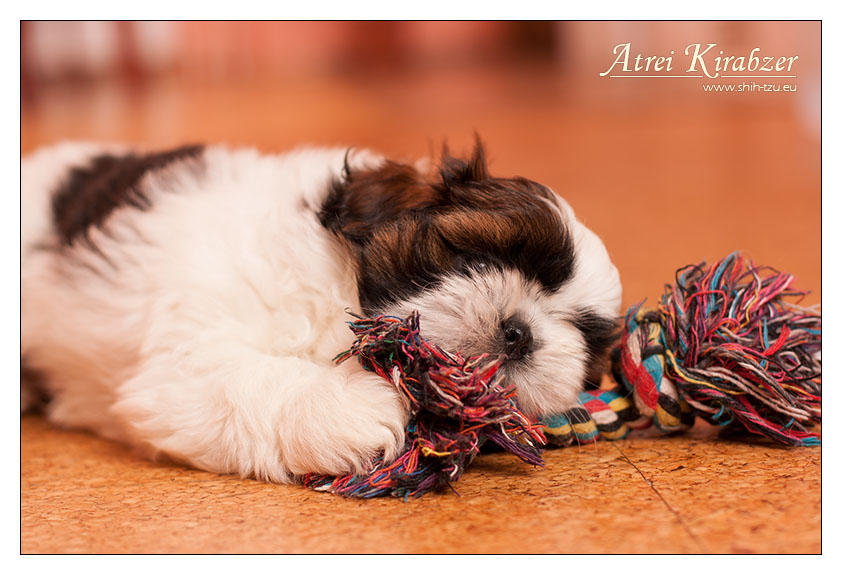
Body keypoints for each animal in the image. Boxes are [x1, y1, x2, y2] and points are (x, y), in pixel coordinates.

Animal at [21, 140, 622, 483]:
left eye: (583, 332)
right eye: (475, 257)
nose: (520, 332)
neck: (337, 295)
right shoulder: (183, 362)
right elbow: (256, 380)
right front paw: (352, 409)